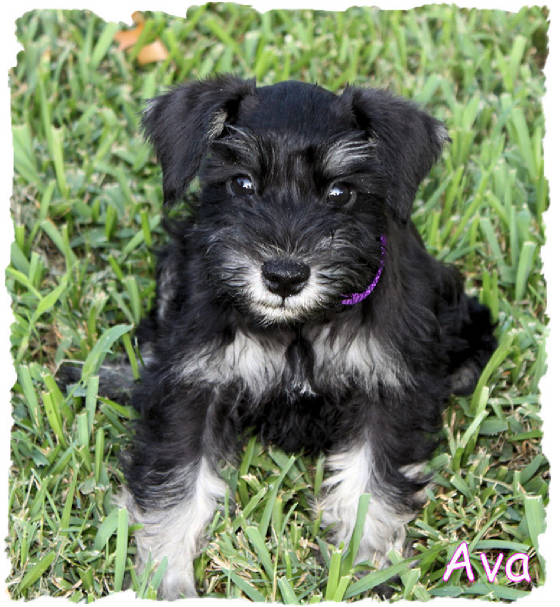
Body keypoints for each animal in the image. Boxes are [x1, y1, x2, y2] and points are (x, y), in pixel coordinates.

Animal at [114, 76, 494, 600]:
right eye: (242, 183)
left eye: (340, 191)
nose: (284, 276)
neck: (299, 324)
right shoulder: (192, 387)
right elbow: (176, 485)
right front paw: (167, 580)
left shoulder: (388, 388)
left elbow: (371, 485)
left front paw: (362, 569)